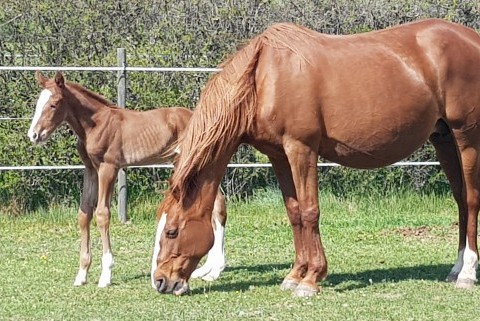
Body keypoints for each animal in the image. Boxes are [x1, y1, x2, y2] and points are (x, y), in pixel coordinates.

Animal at [28, 72, 227, 288]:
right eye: (38, 103)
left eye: (54, 104)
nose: (34, 135)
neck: (95, 124)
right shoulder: (90, 169)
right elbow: (84, 214)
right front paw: (81, 274)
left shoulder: (109, 168)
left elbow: (102, 214)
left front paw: (105, 275)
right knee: (215, 203)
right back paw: (208, 269)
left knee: (217, 204)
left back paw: (215, 270)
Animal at [152, 18, 480, 296]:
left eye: (171, 231)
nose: (160, 282)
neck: (262, 78)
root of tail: (472, 39)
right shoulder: (278, 155)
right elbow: (294, 212)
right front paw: (295, 274)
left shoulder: (302, 149)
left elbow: (310, 211)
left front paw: (311, 279)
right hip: (443, 139)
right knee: (460, 200)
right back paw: (455, 268)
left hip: (466, 137)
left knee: (472, 199)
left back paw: (467, 274)